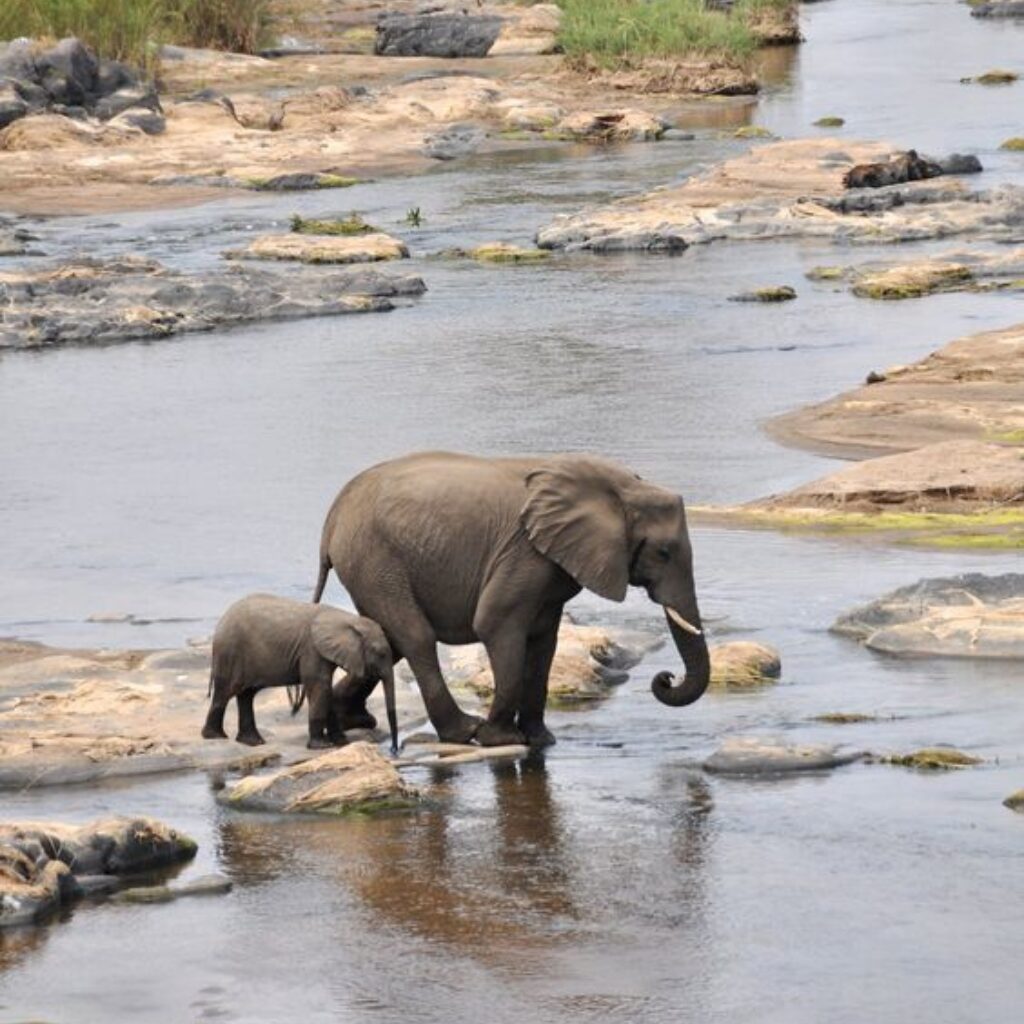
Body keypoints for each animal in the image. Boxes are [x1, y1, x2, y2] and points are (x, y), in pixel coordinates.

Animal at [199, 593, 395, 753]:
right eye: (381, 653)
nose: (394, 749)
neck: (348, 619)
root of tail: (221, 621)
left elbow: (325, 690)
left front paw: (342, 742)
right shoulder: (311, 650)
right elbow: (320, 687)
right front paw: (321, 746)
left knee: (246, 694)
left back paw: (253, 742)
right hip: (230, 652)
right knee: (226, 692)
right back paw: (215, 736)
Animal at [313, 452, 712, 749]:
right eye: (663, 552)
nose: (666, 678)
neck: (624, 487)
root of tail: (331, 519)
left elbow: (544, 640)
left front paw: (542, 741)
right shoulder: (525, 554)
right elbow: (495, 623)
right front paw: (501, 740)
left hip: (370, 565)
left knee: (387, 639)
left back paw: (354, 720)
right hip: (375, 558)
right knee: (416, 637)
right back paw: (464, 732)